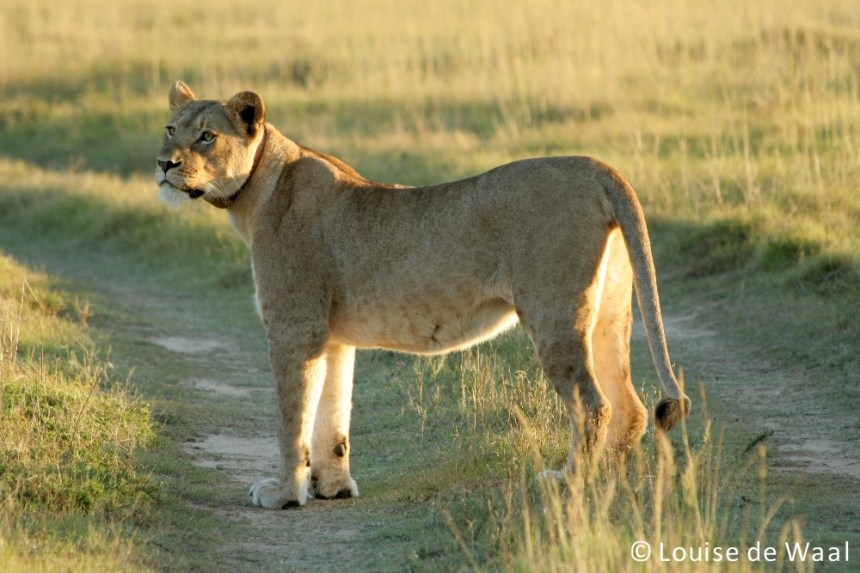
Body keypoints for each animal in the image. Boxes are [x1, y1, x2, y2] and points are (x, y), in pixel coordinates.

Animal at [155, 81, 690, 509]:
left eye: (207, 136)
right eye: (170, 128)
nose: (163, 164)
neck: (257, 191)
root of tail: (596, 166)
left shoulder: (294, 329)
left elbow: (293, 420)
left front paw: (285, 494)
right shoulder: (332, 337)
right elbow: (333, 416)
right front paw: (334, 488)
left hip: (554, 313)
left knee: (594, 405)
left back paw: (571, 482)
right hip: (607, 315)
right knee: (631, 407)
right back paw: (609, 481)